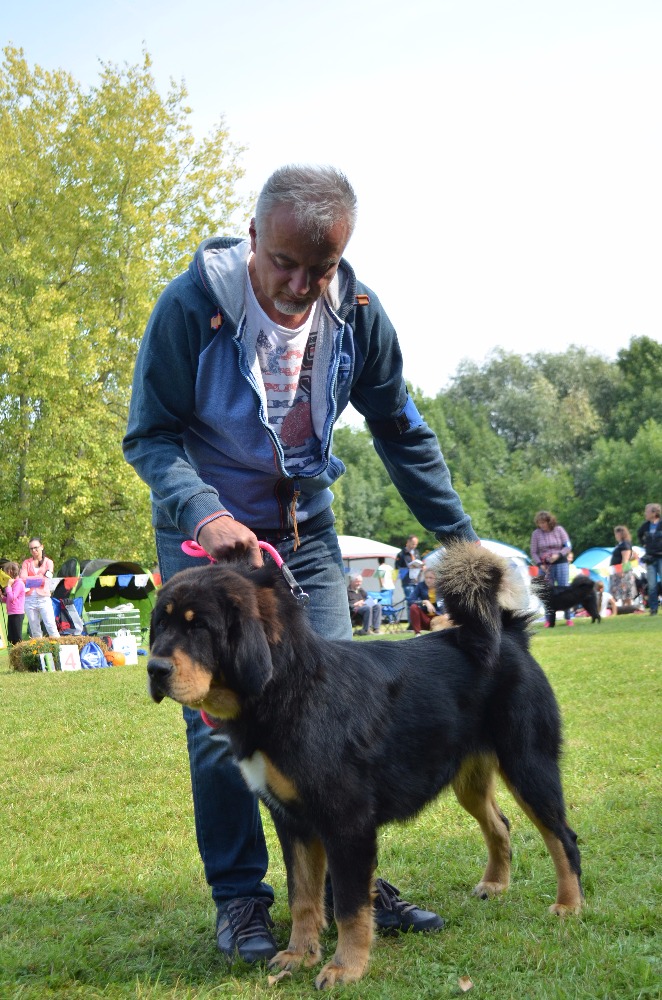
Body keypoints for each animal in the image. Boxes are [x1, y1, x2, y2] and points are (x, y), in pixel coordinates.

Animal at [148, 544, 584, 988]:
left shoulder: (347, 822)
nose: (154, 669)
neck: (289, 688)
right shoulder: (293, 821)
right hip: (470, 780)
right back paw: (495, 884)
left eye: (199, 626)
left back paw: (569, 905)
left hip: (529, 765)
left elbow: (349, 905)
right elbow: (303, 896)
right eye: (161, 625)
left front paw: (345, 966)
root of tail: (509, 634)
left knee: (562, 838)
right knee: (500, 825)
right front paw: (299, 955)